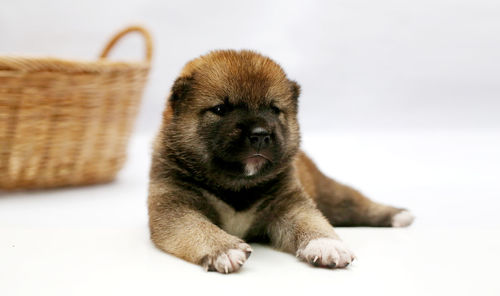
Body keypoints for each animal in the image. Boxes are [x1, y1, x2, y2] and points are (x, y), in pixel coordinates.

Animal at [147, 49, 414, 274]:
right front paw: (223, 249)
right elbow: (197, 228)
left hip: (331, 195)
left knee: (357, 204)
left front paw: (326, 244)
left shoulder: (290, 203)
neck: (237, 186)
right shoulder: (175, 207)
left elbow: (311, 221)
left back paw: (399, 215)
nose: (260, 135)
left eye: (274, 109)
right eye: (221, 109)